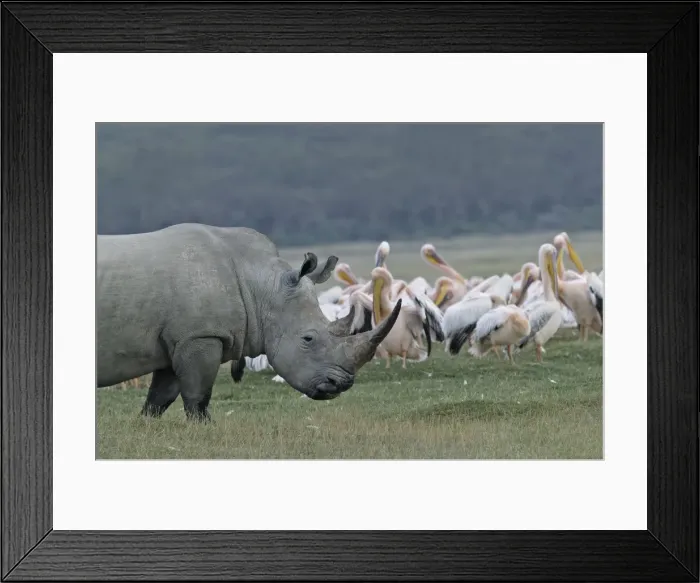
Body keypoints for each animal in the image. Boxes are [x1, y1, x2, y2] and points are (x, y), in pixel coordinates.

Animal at [97, 223, 401, 421]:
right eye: (308, 339)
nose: (341, 384)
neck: (262, 287)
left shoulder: (180, 337)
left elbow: (160, 398)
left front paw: (146, 426)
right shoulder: (201, 335)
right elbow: (197, 396)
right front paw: (204, 429)